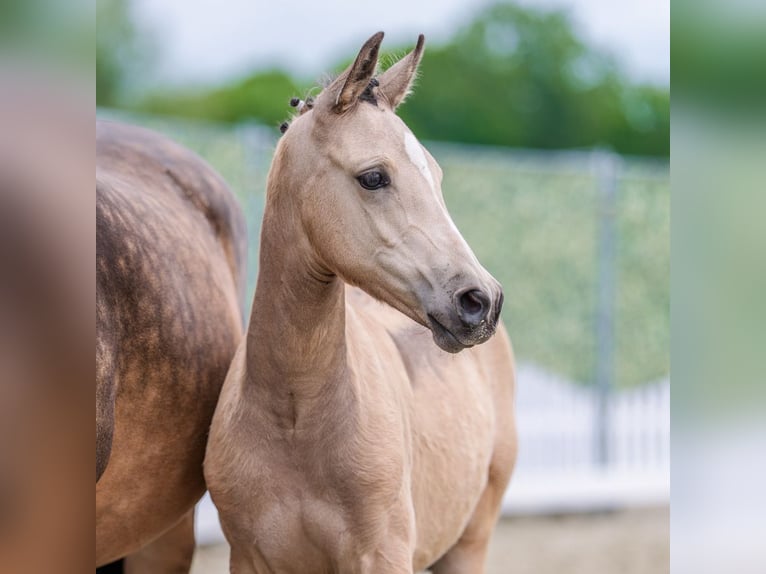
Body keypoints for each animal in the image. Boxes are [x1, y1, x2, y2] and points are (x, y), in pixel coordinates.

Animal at [204, 32, 517, 573]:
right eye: (373, 177)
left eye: (437, 176)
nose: (481, 300)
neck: (295, 421)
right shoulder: (249, 558)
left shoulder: (382, 555)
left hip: (469, 543)